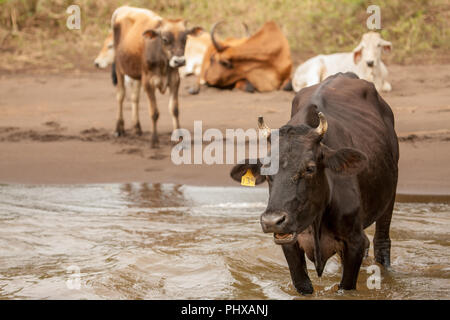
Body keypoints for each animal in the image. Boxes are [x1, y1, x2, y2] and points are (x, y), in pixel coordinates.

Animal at [110, 5, 200, 148]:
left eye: (185, 39)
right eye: (164, 39)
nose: (179, 61)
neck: (162, 61)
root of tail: (125, 8)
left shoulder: (174, 80)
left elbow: (174, 109)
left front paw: (179, 137)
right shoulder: (148, 82)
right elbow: (154, 112)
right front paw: (154, 140)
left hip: (137, 73)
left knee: (135, 97)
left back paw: (137, 127)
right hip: (120, 68)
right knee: (120, 96)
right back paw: (119, 129)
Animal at [230, 73, 400, 296]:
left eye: (310, 168)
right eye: (266, 170)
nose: (272, 221)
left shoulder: (355, 241)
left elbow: (346, 287)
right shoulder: (290, 243)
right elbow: (302, 284)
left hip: (390, 194)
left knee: (382, 242)